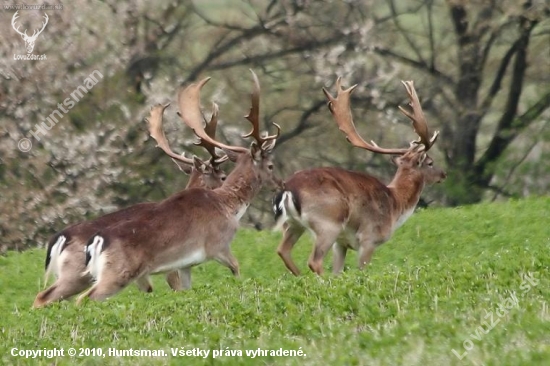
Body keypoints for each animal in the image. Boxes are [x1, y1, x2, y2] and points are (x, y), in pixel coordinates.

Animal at [77, 71, 282, 304]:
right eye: (271, 165)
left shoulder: (185, 264)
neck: (228, 206)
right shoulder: (217, 245)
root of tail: (95, 243)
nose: (280, 183)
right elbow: (237, 270)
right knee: (84, 298)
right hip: (118, 272)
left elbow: (186, 289)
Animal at [274, 78, 446, 276]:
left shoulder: (341, 244)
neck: (395, 205)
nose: (443, 174)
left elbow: (338, 271)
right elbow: (362, 270)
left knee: (282, 250)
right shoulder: (369, 238)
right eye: (430, 162)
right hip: (328, 223)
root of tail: (288, 190)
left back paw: (300, 277)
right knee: (313, 261)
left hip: (294, 224)